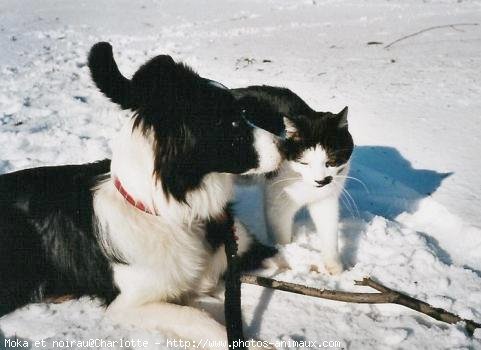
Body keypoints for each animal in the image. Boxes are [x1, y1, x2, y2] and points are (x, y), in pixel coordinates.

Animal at [0, 42, 282, 346]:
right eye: (230, 123)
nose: (286, 143)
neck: (173, 213)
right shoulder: (128, 304)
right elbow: (196, 317)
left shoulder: (245, 247)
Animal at [232, 86, 352, 274]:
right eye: (304, 162)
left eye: (331, 161)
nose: (320, 181)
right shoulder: (278, 202)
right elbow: (281, 235)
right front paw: (287, 255)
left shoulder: (325, 199)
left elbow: (329, 232)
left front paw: (334, 266)